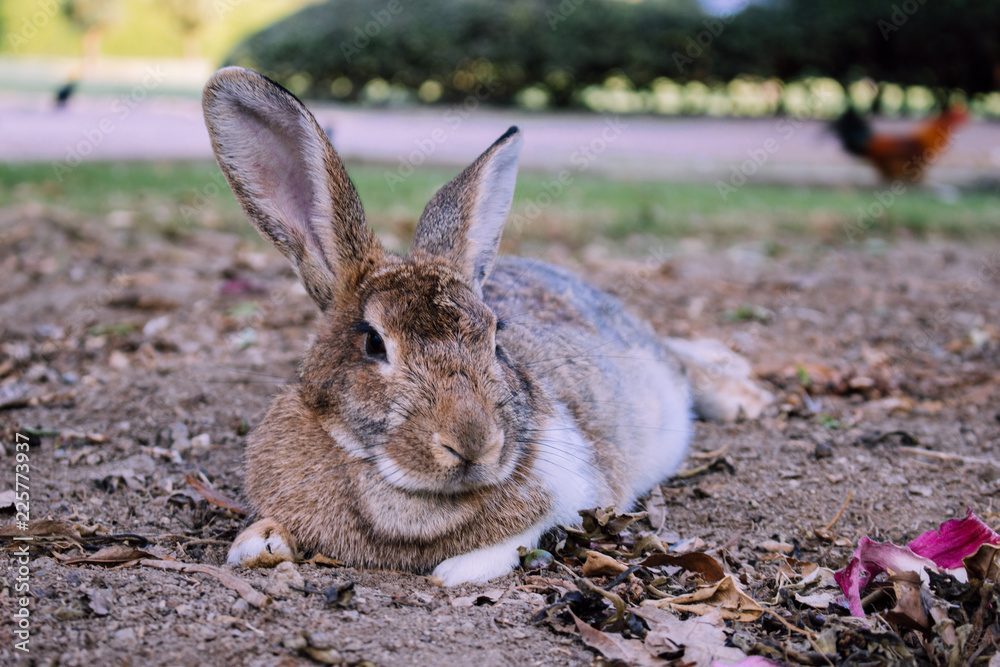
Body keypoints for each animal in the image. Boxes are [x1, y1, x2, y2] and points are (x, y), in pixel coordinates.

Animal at [203, 67, 772, 586]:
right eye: (373, 343)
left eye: (497, 341)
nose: (474, 443)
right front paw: (256, 544)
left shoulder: (574, 488)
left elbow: (522, 534)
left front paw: (458, 571)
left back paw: (744, 397)